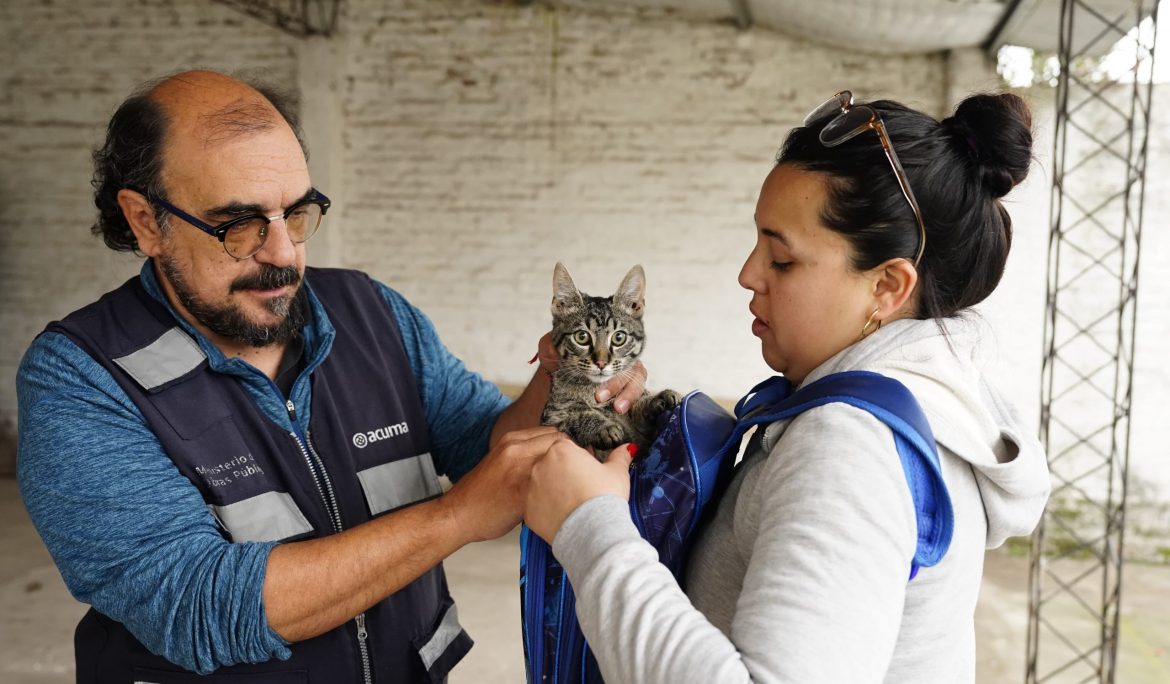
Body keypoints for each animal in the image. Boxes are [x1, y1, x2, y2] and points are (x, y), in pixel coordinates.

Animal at [535, 261, 678, 453]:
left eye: (619, 338)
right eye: (582, 337)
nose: (601, 362)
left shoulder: (644, 434)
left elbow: (638, 410)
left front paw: (656, 398)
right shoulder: (553, 415)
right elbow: (578, 415)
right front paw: (603, 428)